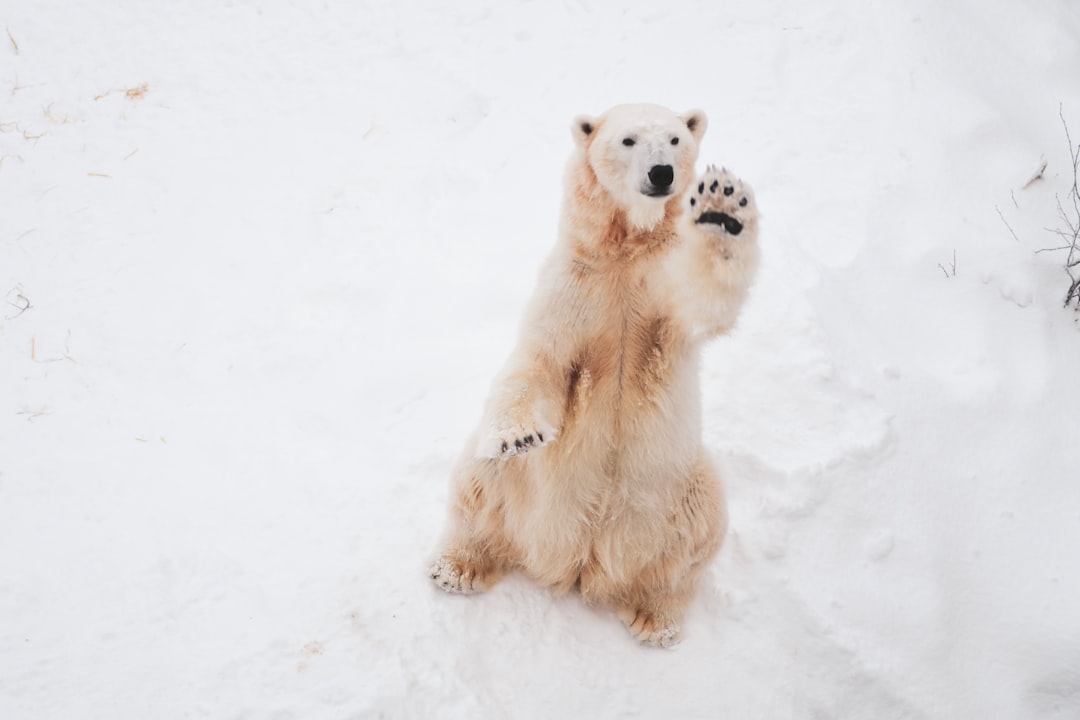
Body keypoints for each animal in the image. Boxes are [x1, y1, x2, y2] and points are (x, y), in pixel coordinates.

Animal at [430, 103, 760, 647]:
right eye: (628, 140)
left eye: (675, 139)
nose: (661, 173)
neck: (626, 249)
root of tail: (584, 561)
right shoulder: (577, 283)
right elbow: (540, 360)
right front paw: (519, 434)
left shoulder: (660, 292)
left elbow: (703, 300)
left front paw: (721, 211)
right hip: (524, 490)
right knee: (480, 479)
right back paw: (456, 567)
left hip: (679, 488)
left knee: (696, 538)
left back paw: (656, 618)